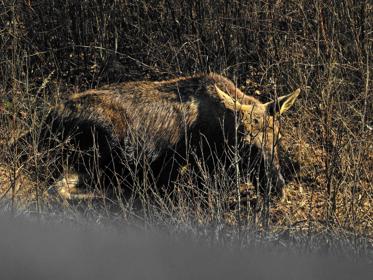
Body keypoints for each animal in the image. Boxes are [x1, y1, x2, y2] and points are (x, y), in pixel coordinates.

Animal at [15, 72, 300, 199]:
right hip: (106, 146)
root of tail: (45, 122)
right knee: (58, 189)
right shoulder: (184, 164)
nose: (277, 187)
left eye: (278, 138)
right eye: (246, 144)